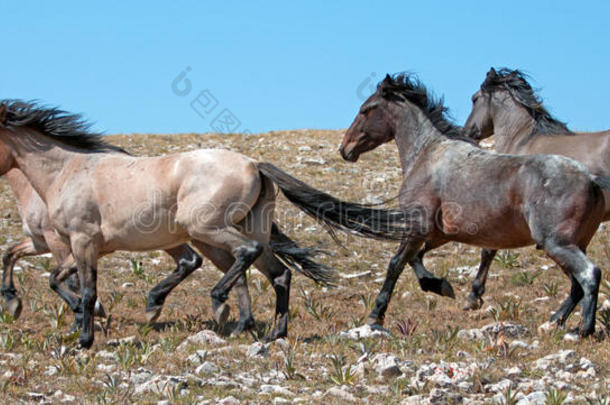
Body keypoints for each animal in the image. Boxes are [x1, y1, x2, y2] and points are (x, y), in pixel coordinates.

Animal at [0, 100, 408, 348]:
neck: (67, 171)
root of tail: (253, 164)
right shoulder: (76, 246)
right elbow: (54, 278)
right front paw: (21, 305)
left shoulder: (82, 242)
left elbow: (83, 290)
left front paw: (84, 337)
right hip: (234, 233)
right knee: (278, 272)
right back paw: (270, 330)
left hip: (205, 230)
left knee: (245, 256)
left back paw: (219, 305)